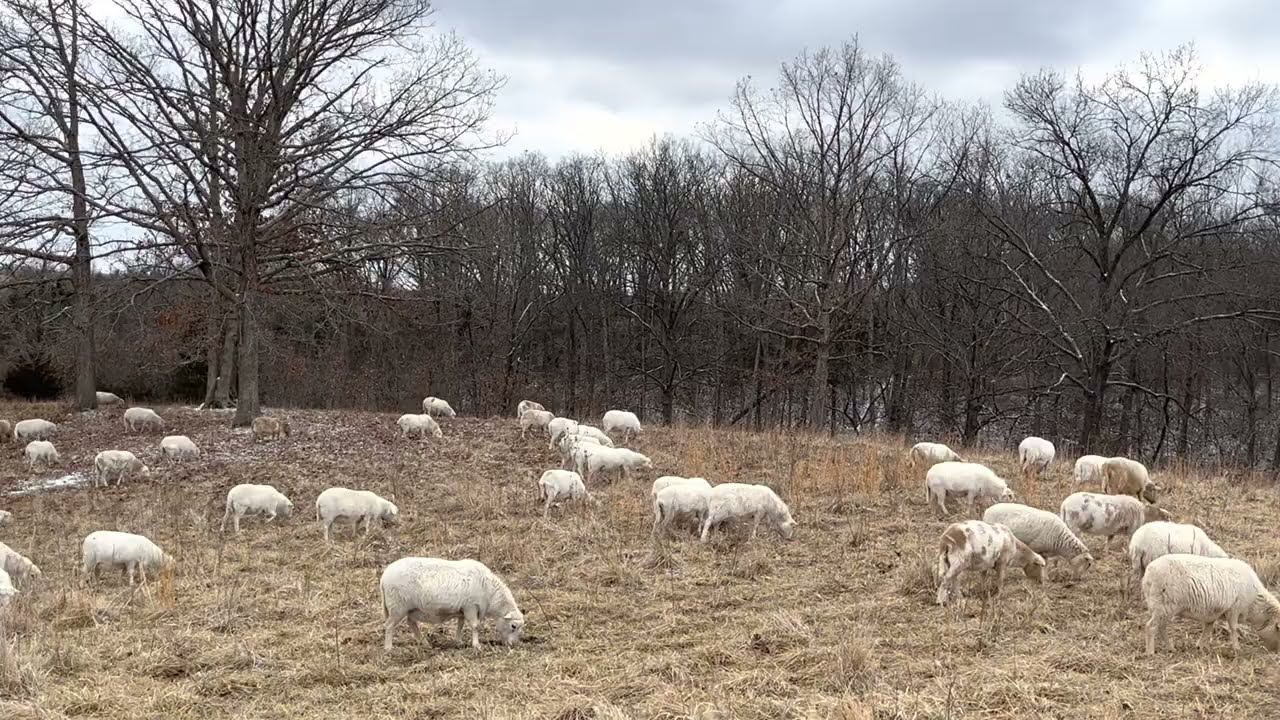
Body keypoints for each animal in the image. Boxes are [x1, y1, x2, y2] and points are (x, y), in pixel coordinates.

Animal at [380, 557, 525, 652]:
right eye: (513, 626)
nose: (514, 645)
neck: (490, 592)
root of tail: (384, 577)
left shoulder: (462, 610)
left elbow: (460, 624)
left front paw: (458, 641)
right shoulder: (471, 607)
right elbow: (475, 626)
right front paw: (476, 645)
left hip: (411, 608)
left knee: (411, 623)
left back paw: (424, 643)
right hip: (397, 607)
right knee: (389, 625)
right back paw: (388, 648)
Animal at [1142, 554, 1280, 655]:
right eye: (1278, 629)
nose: (1275, 652)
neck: (1255, 604)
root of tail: (1148, 574)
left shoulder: (1213, 612)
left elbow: (1208, 629)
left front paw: (1201, 646)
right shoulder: (1234, 609)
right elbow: (1234, 628)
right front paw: (1237, 648)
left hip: (1162, 607)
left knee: (1161, 627)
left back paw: (1171, 648)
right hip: (1164, 605)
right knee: (1151, 627)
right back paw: (1150, 652)